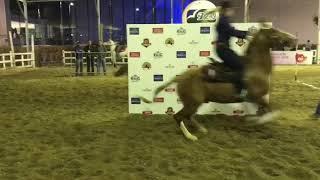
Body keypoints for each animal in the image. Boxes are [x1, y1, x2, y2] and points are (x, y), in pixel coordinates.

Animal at [140, 25, 298, 141]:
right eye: (275, 32)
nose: (294, 39)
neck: (255, 68)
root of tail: (180, 77)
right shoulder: (256, 97)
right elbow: (271, 112)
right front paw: (257, 121)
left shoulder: (255, 99)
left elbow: (265, 111)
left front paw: (253, 119)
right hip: (193, 102)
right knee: (178, 116)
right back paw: (191, 136)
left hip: (194, 103)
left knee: (188, 116)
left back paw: (202, 129)